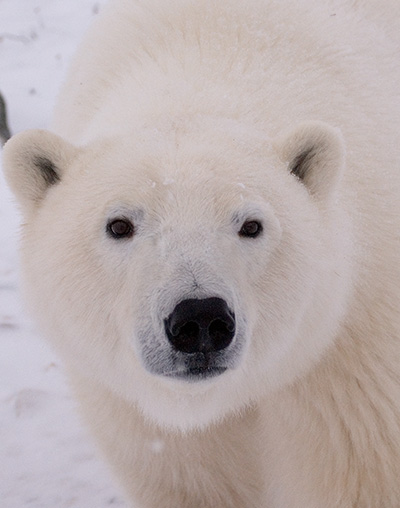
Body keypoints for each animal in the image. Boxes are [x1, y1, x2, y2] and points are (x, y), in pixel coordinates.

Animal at [2, 0, 400, 506]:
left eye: (251, 225)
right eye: (119, 225)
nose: (200, 319)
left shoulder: (351, 367)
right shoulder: (147, 421)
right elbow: (196, 478)